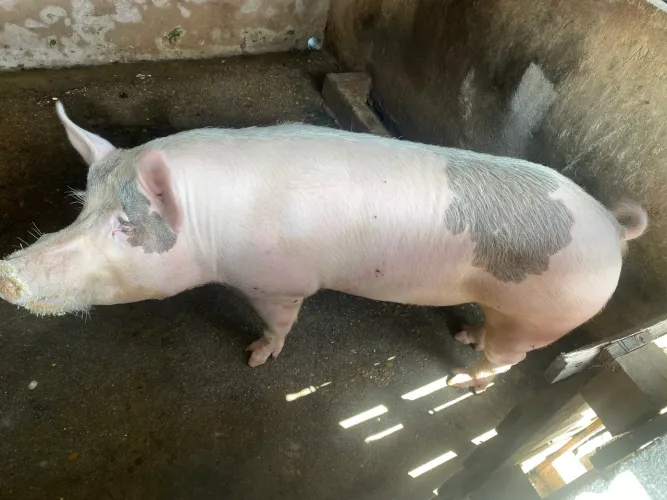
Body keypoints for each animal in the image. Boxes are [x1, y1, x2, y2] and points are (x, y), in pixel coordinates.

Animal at [0, 101, 648, 391]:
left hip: (543, 316)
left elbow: (279, 323)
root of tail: (610, 229)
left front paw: (256, 358)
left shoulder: (277, 282)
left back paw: (464, 381)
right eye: (83, 206)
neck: (212, 222)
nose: (9, 272)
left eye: (123, 225)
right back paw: (466, 335)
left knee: (508, 359)